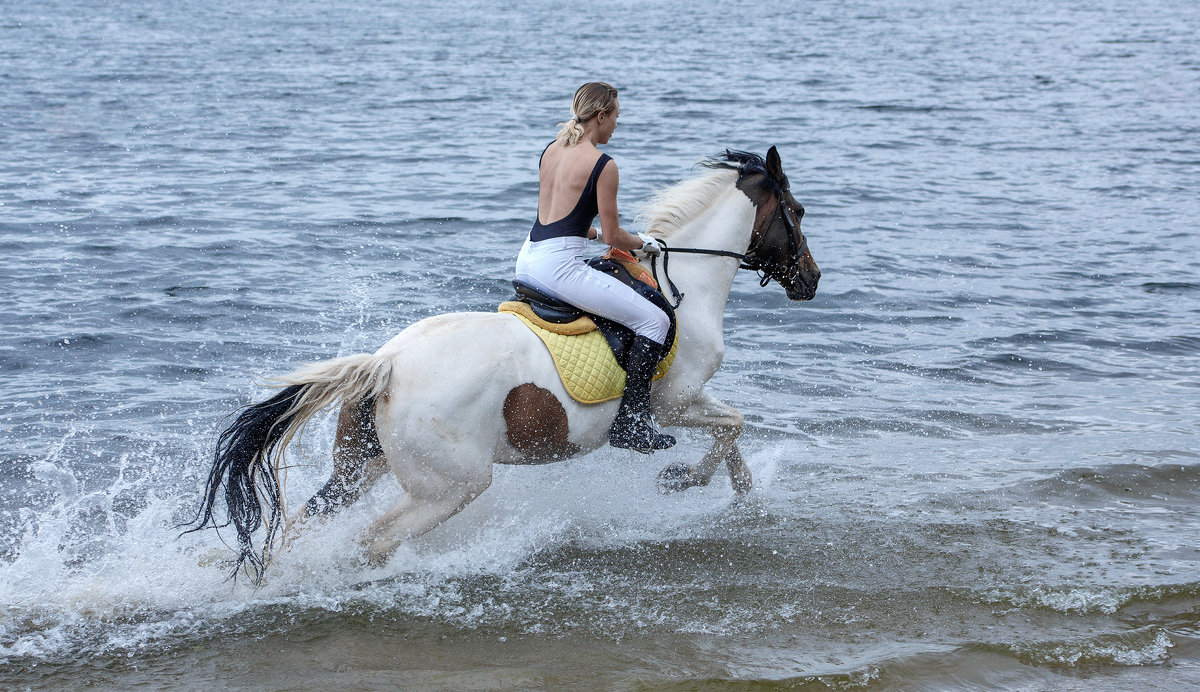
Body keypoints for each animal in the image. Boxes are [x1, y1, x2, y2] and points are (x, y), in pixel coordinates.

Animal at [187, 146, 820, 578]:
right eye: (796, 210)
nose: (811, 281)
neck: (681, 286)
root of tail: (386, 363)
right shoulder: (673, 405)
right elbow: (730, 425)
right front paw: (686, 478)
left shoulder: (691, 399)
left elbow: (734, 428)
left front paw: (735, 491)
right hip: (450, 486)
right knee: (374, 542)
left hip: (362, 468)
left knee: (304, 524)